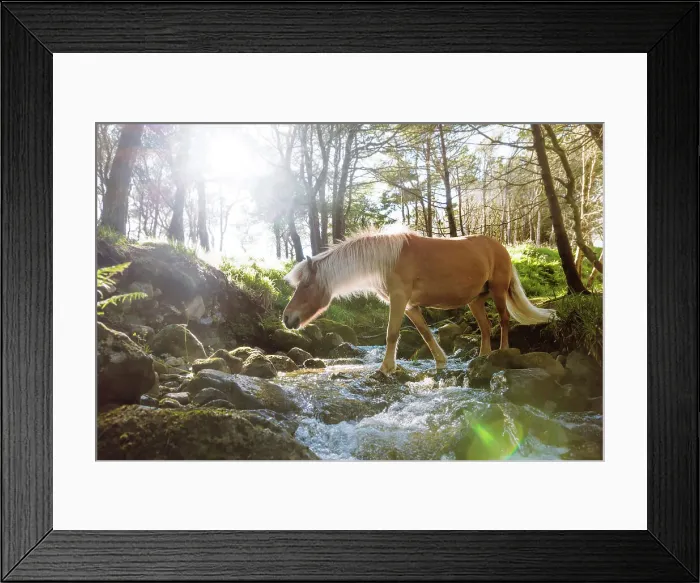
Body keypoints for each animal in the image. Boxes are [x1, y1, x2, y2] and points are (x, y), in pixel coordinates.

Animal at [283, 227, 556, 375]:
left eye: (305, 285)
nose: (286, 318)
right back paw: (482, 358)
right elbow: (425, 333)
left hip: (498, 292)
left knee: (504, 320)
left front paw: (386, 368)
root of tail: (500, 247)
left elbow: (392, 334)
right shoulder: (411, 306)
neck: (386, 260)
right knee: (486, 328)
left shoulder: (399, 299)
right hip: (475, 301)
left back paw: (502, 353)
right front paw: (441, 361)